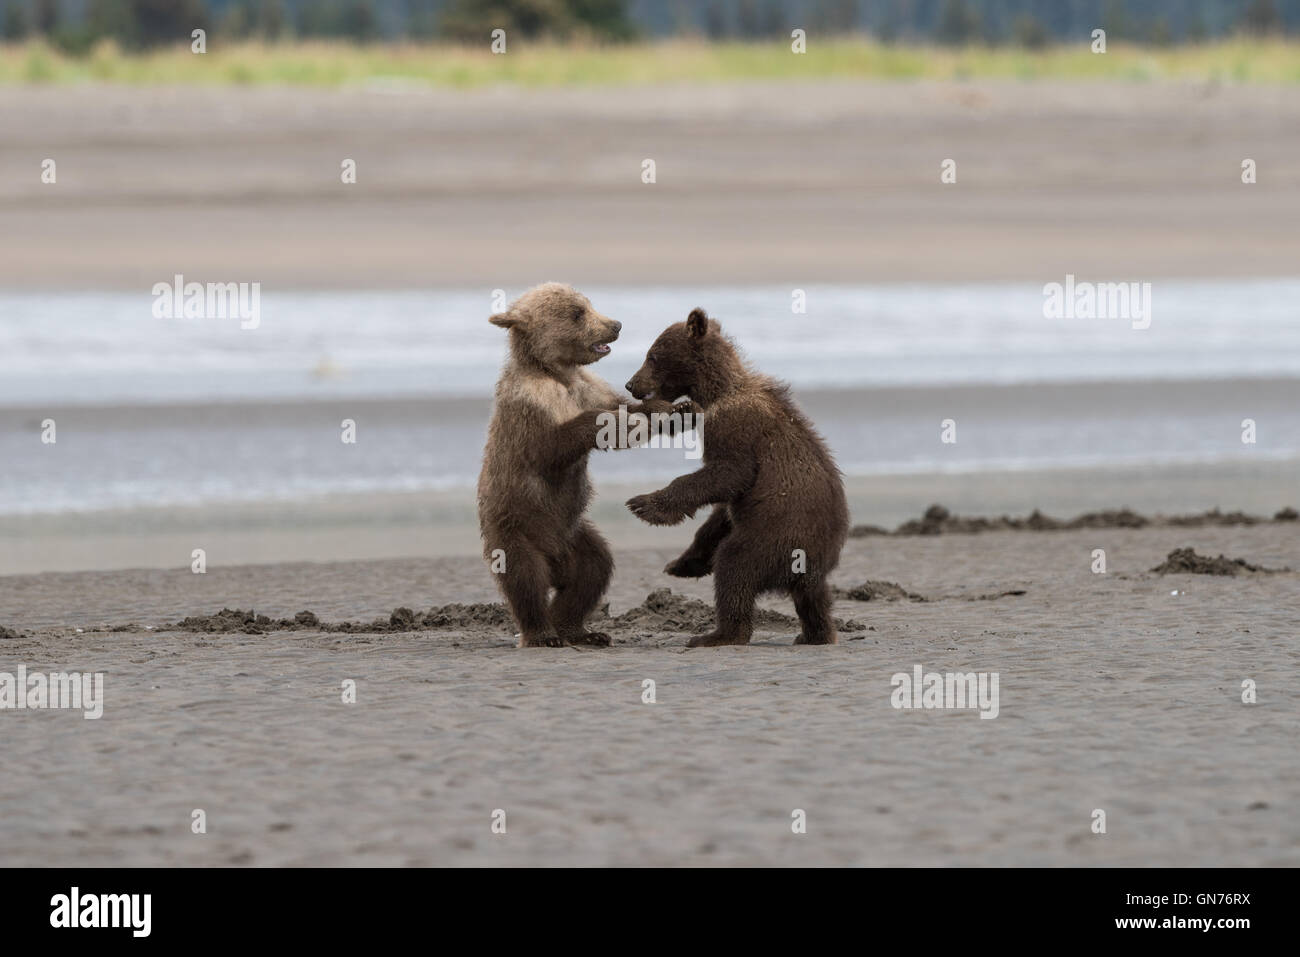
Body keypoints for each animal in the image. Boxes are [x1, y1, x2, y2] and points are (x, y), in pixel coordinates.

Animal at [478, 282, 681, 648]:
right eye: (577, 313)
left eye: (588, 303)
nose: (615, 324)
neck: (557, 373)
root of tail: (555, 559)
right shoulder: (532, 405)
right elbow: (552, 447)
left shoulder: (590, 387)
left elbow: (625, 412)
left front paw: (673, 410)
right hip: (515, 526)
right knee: (525, 578)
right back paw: (543, 634)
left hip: (574, 533)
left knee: (593, 569)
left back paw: (581, 630)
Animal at [624, 307, 849, 647]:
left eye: (652, 355)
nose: (630, 384)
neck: (716, 392)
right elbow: (720, 513)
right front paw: (682, 563)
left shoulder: (734, 426)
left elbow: (727, 473)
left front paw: (645, 504)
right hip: (806, 560)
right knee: (814, 600)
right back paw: (814, 635)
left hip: (771, 537)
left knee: (734, 568)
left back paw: (716, 635)